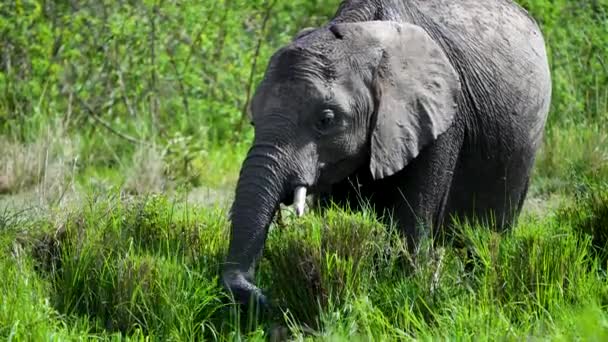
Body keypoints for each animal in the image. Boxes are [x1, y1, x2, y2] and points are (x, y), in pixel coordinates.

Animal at [222, 0, 552, 308]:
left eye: (326, 120)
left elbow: (412, 220)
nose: (261, 297)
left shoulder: (440, 120)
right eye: (253, 122)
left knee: (489, 239)